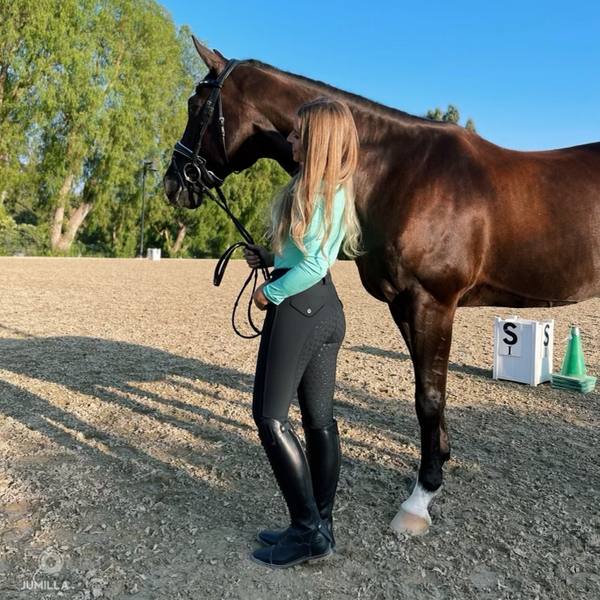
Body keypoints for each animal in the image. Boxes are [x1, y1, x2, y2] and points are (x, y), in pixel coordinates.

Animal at [162, 37, 600, 536]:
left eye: (195, 104)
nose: (173, 182)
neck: (400, 171)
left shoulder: (433, 303)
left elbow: (429, 397)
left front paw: (421, 497)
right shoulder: (404, 305)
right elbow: (425, 392)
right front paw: (438, 465)